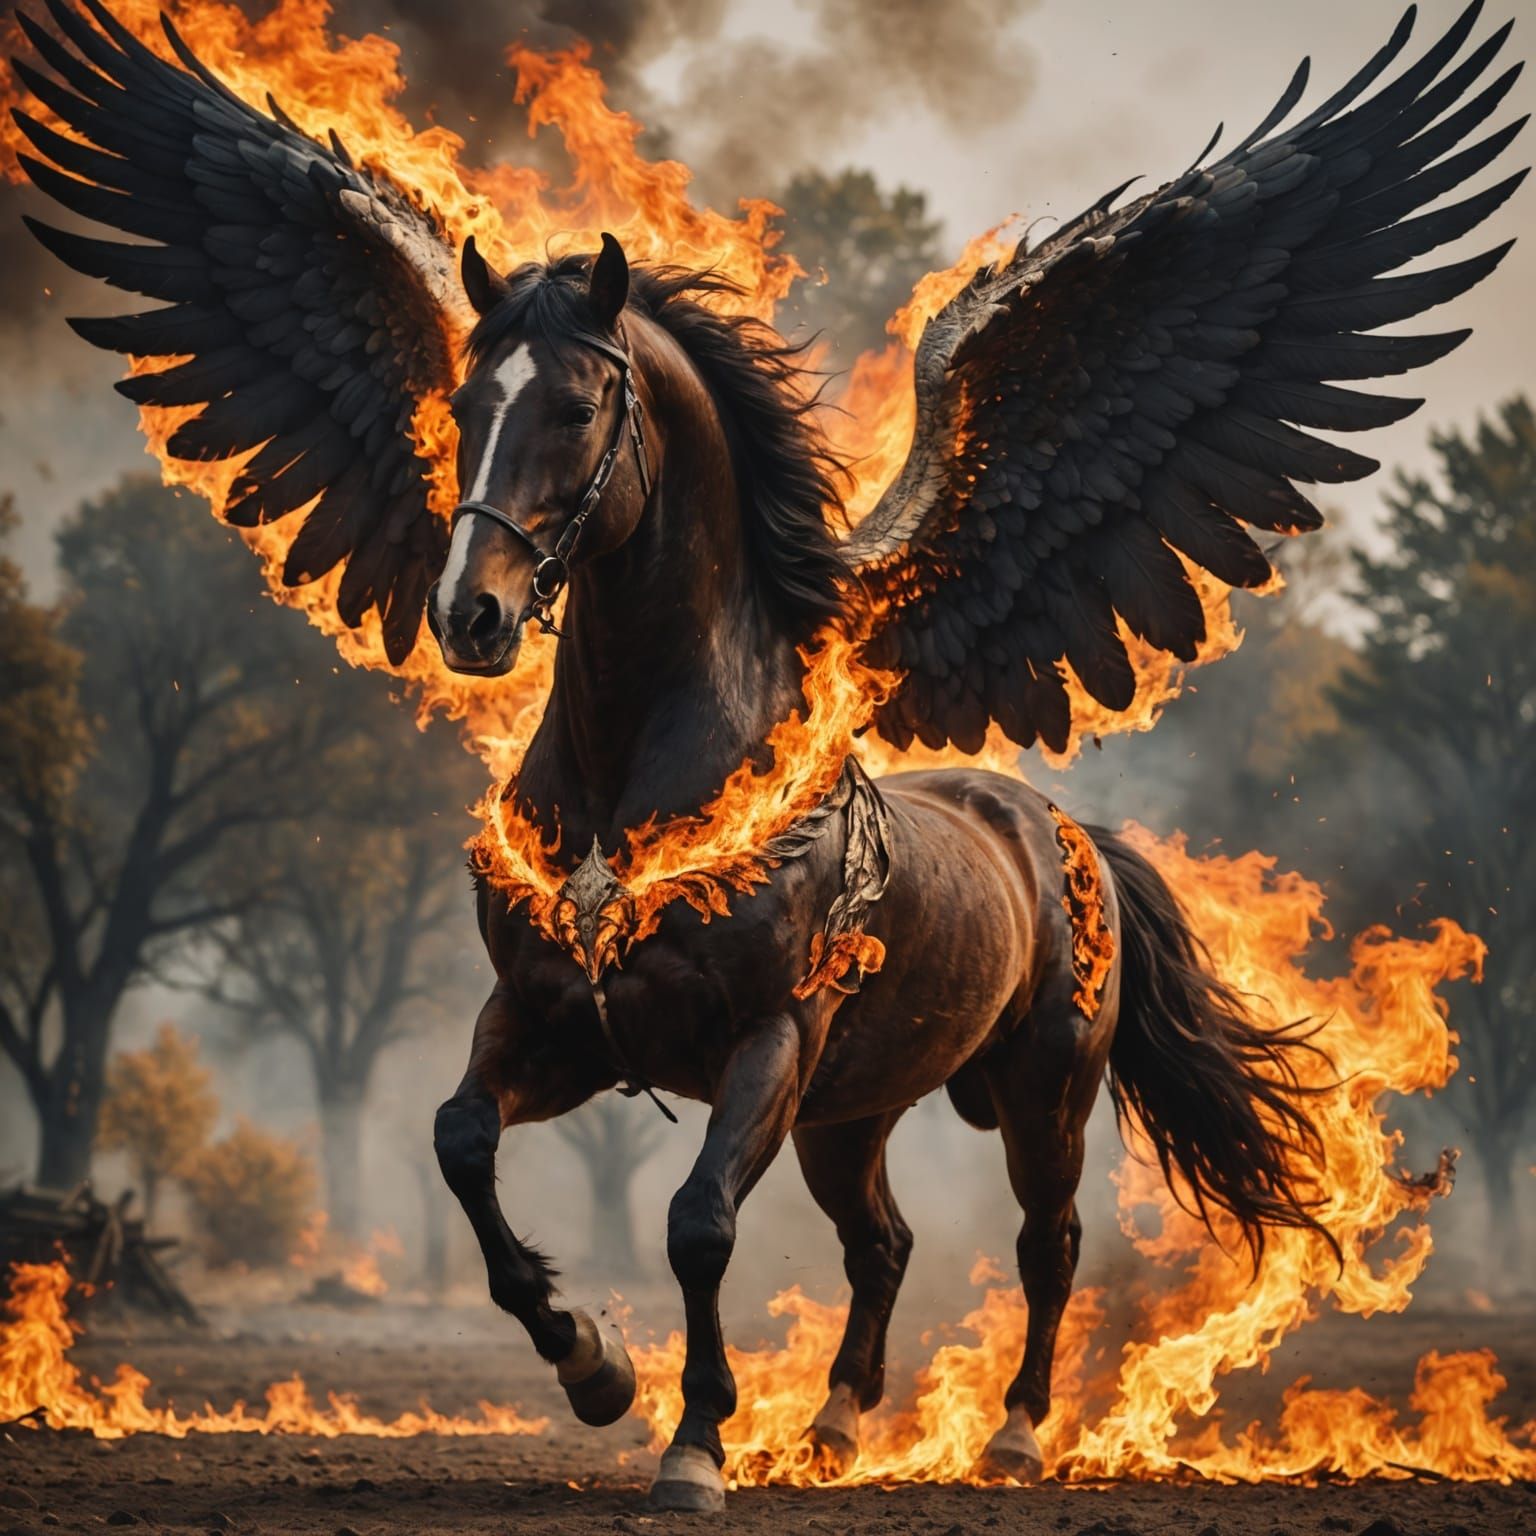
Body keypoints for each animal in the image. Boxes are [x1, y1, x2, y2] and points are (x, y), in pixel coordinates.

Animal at [426, 235, 1327, 1511]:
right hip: (847, 1118)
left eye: (575, 406)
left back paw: (1013, 1436)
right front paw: (592, 1364)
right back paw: (835, 1425)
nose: (473, 614)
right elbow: (462, 1143)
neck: (626, 783)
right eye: (464, 406)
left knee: (1046, 1244)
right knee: (884, 1243)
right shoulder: (552, 1026)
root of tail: (1070, 834)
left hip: (1040, 1092)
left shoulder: (765, 1043)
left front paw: (694, 1444)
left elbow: (697, 1224)